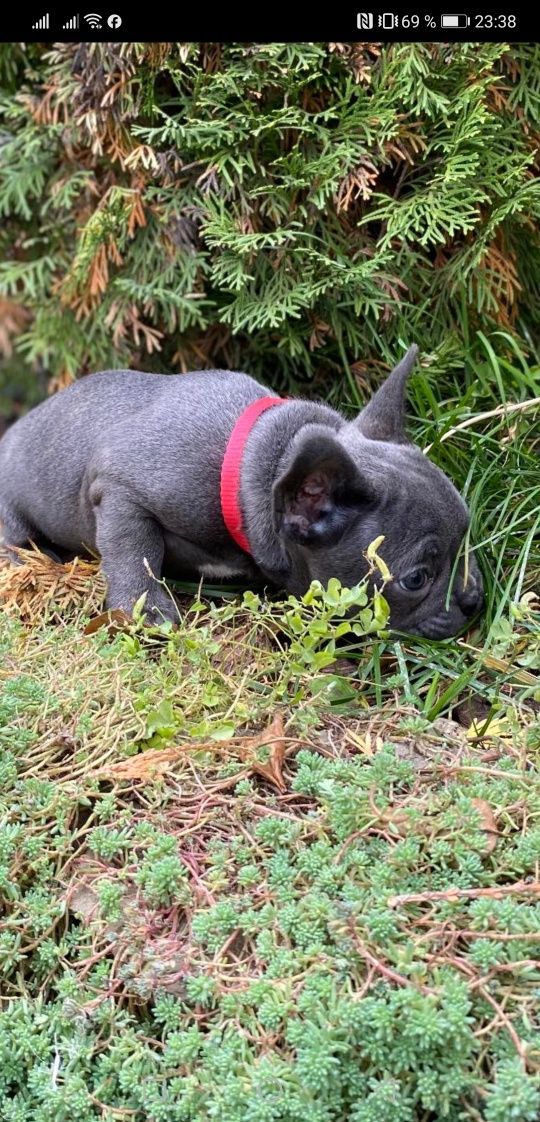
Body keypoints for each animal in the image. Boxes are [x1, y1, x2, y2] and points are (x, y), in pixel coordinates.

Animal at [0, 341, 482, 641]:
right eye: (416, 579)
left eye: (467, 534)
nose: (472, 598)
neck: (260, 461)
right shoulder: (119, 490)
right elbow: (134, 550)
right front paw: (146, 608)